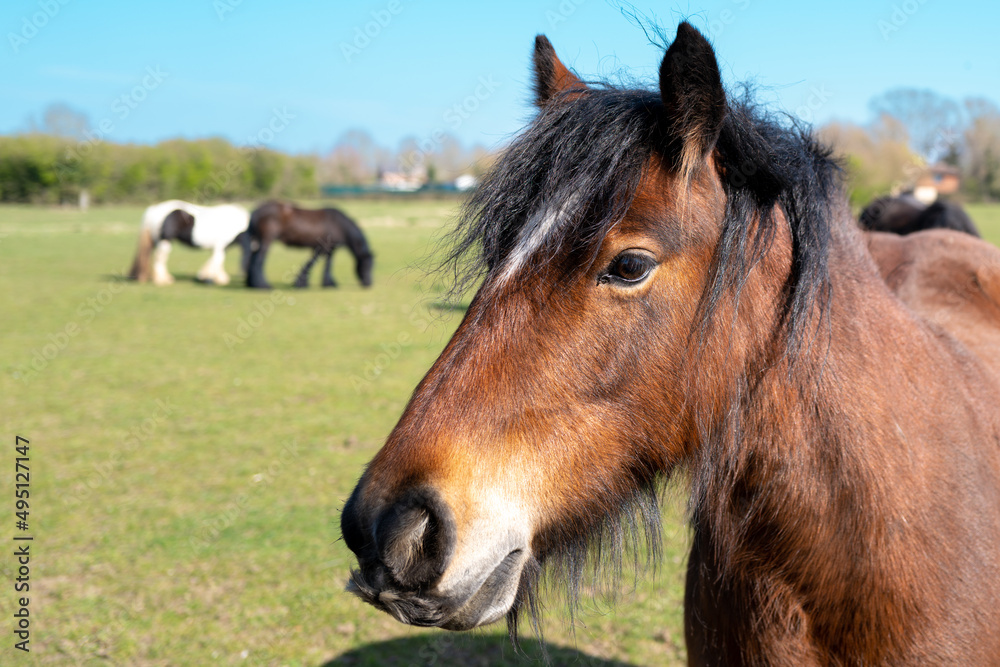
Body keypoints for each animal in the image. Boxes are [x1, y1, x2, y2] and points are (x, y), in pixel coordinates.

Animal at [244, 201, 374, 290]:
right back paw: (263, 285)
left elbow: (325, 264)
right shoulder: (322, 248)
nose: (368, 283)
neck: (338, 224)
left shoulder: (327, 249)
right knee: (259, 261)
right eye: (367, 265)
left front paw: (327, 283)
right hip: (266, 242)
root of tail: (256, 212)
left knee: (252, 260)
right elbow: (314, 263)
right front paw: (302, 283)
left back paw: (251, 284)